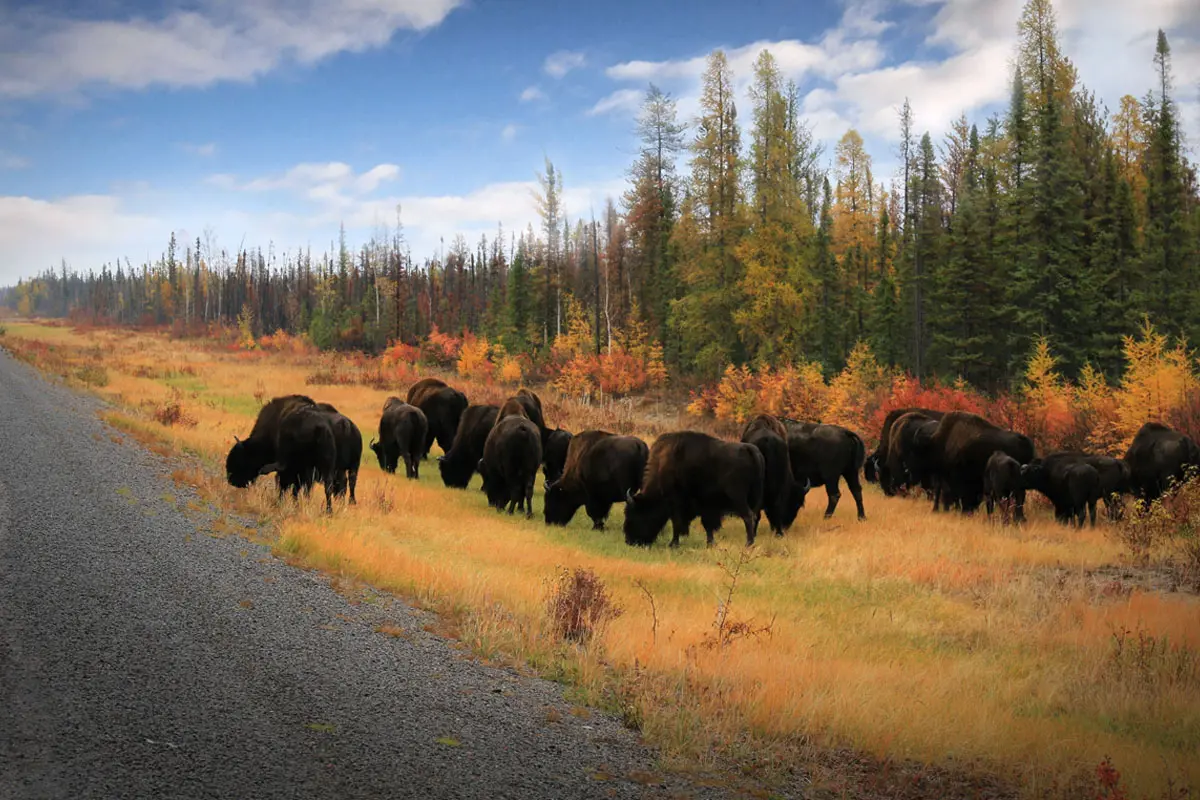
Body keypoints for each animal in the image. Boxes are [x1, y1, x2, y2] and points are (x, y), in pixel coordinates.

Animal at [623, 431, 764, 548]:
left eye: (635, 514)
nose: (630, 541)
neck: (663, 465)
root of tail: (749, 449)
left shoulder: (677, 502)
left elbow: (677, 522)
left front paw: (673, 544)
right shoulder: (705, 505)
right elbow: (707, 525)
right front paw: (710, 544)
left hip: (737, 497)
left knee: (748, 516)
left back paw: (748, 544)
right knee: (754, 516)